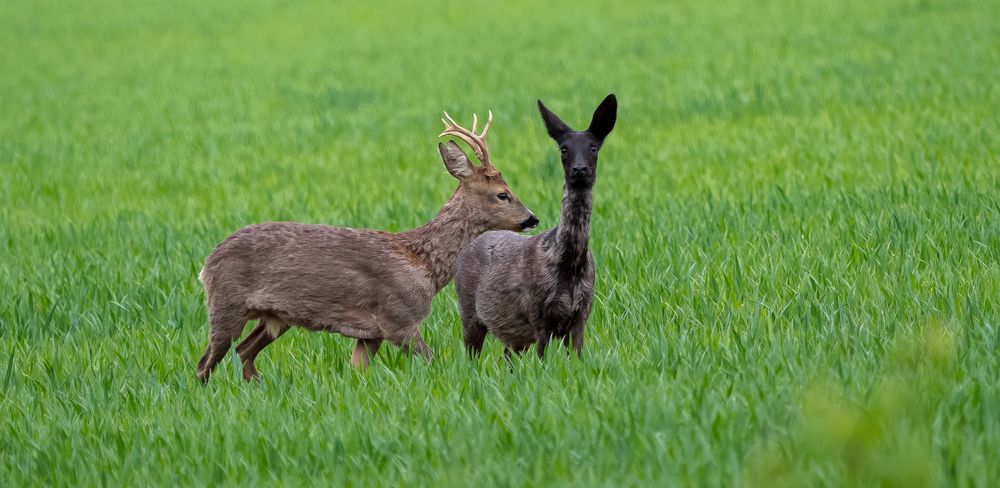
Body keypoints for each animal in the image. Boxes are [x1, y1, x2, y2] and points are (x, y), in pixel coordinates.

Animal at [196, 110, 540, 382]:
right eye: (503, 194)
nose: (532, 219)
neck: (423, 264)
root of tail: (207, 261)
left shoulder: (371, 334)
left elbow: (358, 372)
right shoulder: (398, 318)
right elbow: (431, 361)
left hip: (274, 318)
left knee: (244, 351)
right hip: (226, 303)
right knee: (205, 363)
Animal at [456, 95, 612, 360]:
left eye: (594, 147)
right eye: (563, 149)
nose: (579, 169)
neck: (568, 263)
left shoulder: (582, 315)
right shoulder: (538, 316)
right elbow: (542, 360)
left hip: (514, 336)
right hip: (469, 311)